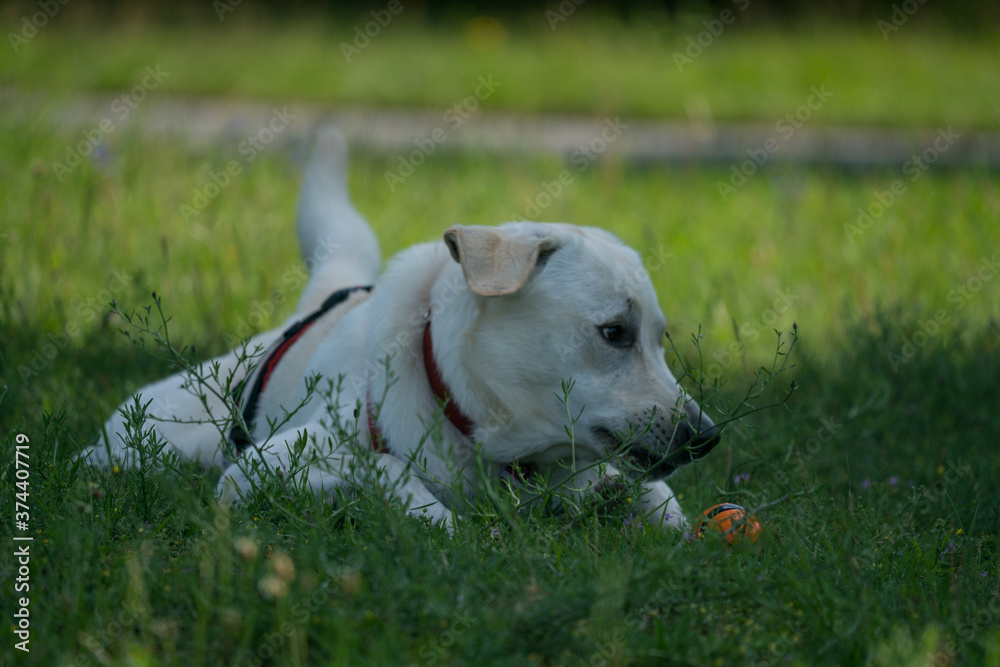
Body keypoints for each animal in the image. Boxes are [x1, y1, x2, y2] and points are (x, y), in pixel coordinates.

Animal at [84, 128, 720, 528]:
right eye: (614, 333)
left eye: (659, 339)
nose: (708, 437)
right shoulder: (257, 469)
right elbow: (387, 466)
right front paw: (444, 525)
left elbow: (658, 495)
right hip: (152, 445)